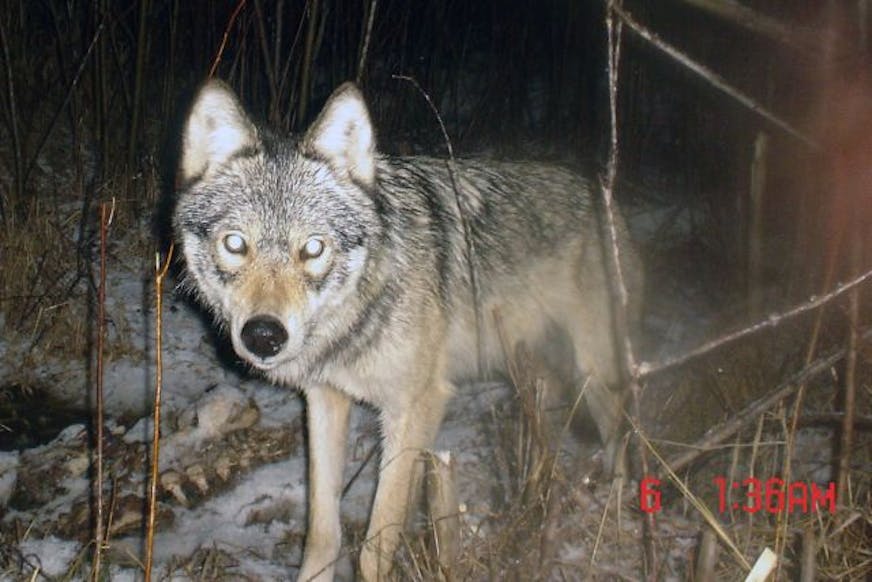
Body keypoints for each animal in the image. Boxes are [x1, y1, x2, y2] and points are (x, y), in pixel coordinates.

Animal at [174, 80, 644, 580]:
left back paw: (614, 515)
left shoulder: (414, 408)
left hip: (593, 374)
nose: (263, 335)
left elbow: (376, 544)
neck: (360, 311)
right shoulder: (324, 400)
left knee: (620, 438)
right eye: (235, 244)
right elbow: (322, 532)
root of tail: (605, 198)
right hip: (532, 375)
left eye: (314, 249)